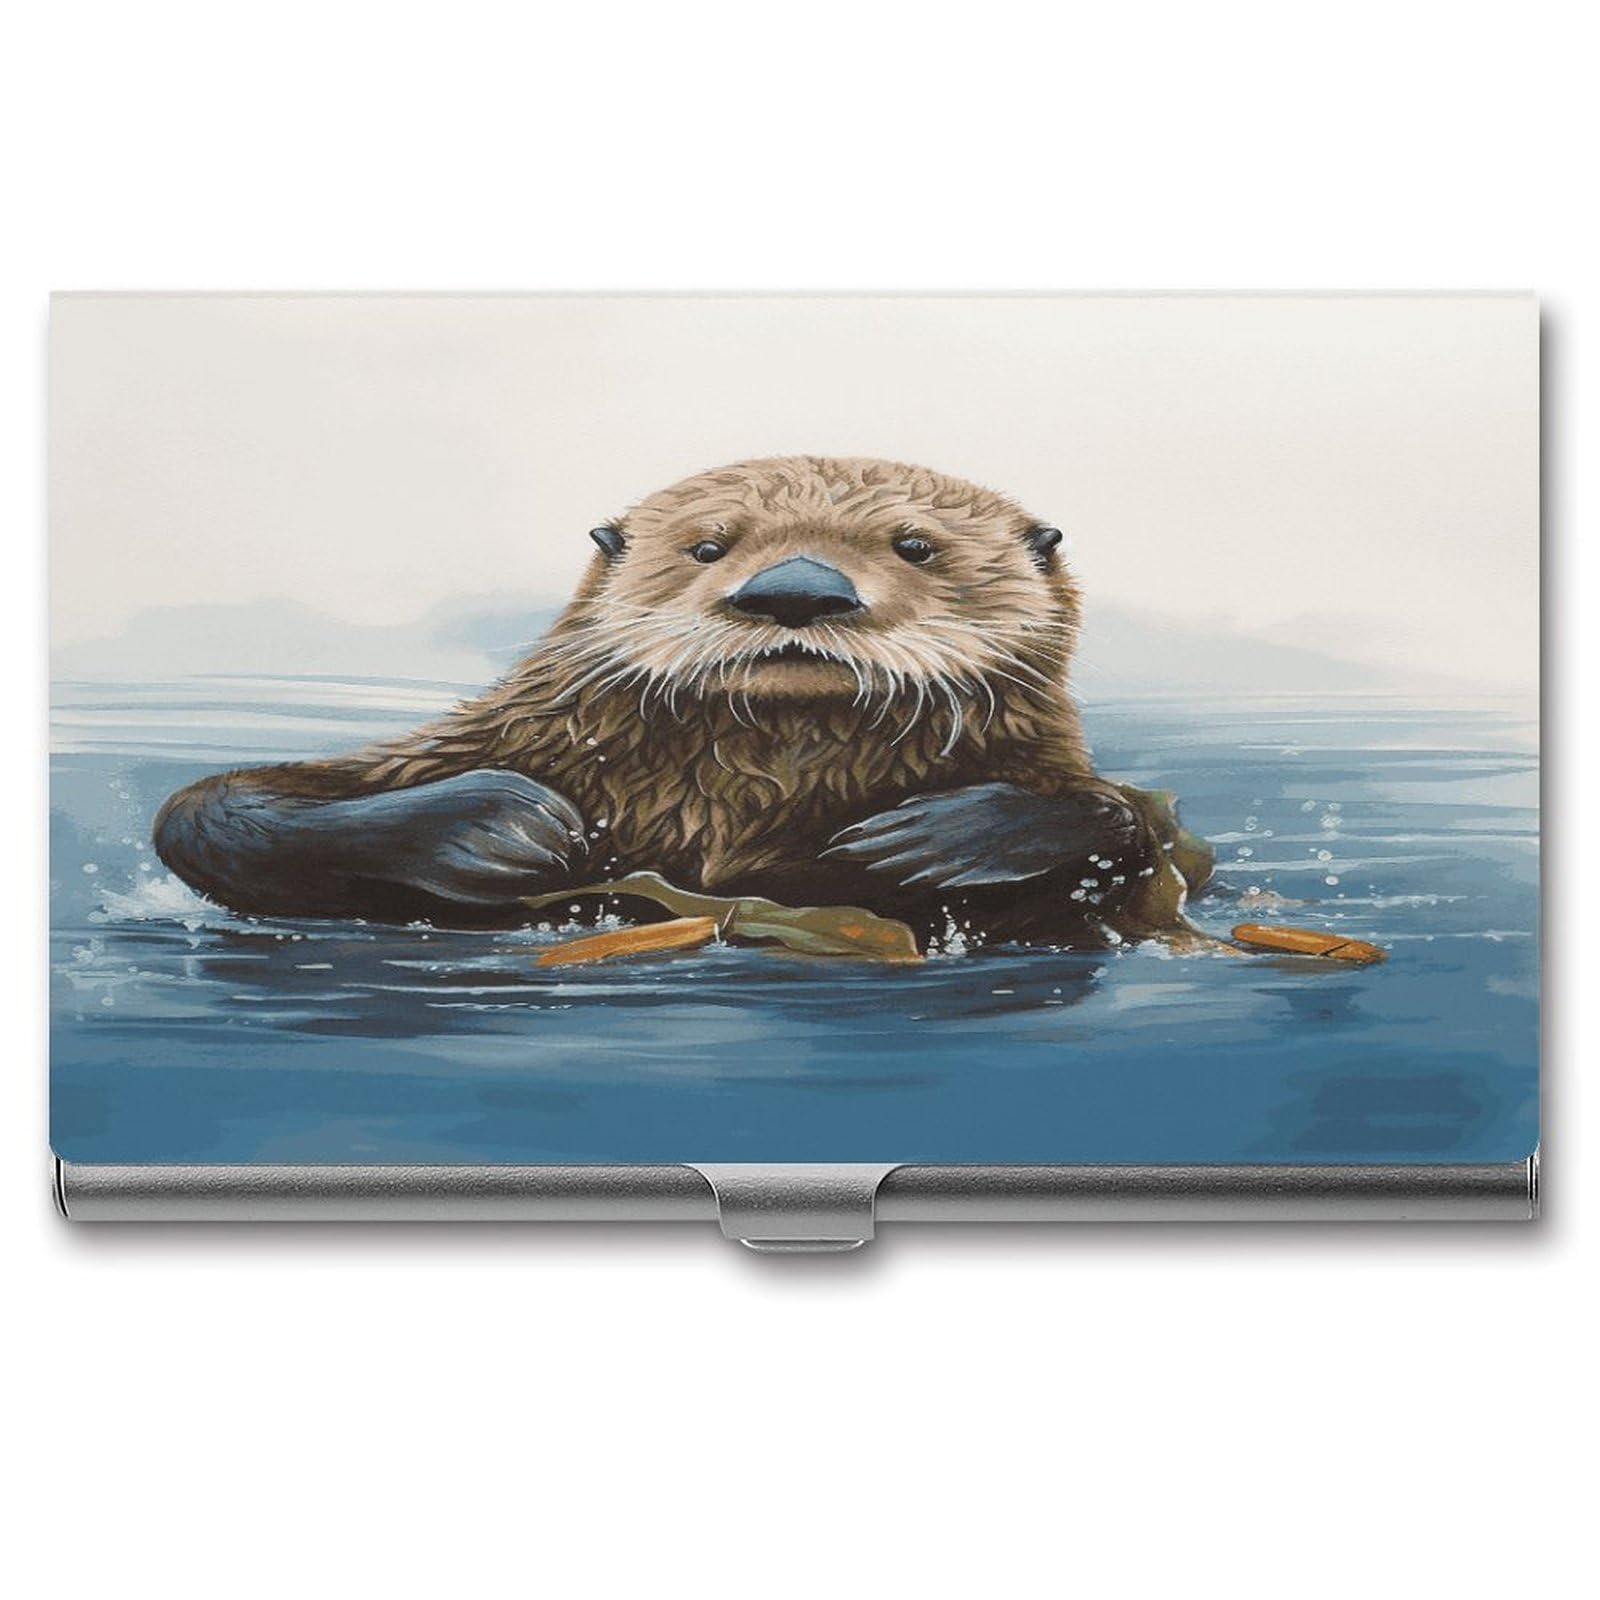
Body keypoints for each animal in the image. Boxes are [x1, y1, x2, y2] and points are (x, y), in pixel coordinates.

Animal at [154, 456, 1160, 948]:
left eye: (915, 546)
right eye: (709, 547)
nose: (795, 591)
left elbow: (1128, 831)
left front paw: (936, 839)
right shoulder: (498, 735)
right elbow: (210, 808)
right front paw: (501, 824)